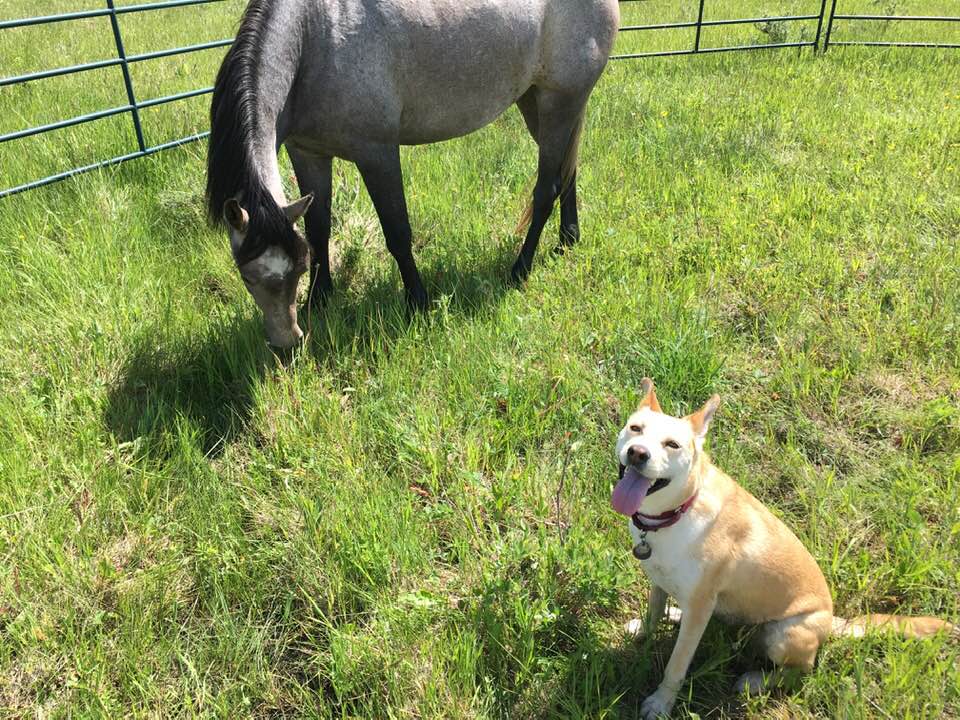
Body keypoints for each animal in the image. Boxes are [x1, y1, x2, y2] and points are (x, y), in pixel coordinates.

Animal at [206, 0, 620, 348]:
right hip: (538, 102)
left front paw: (417, 302)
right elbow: (319, 228)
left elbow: (398, 233)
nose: (287, 343)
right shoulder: (308, 153)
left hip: (559, 102)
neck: (314, 37)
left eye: (292, 272)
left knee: (546, 188)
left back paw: (519, 269)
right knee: (567, 171)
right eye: (247, 276)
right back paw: (567, 240)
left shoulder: (377, 154)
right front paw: (320, 299)